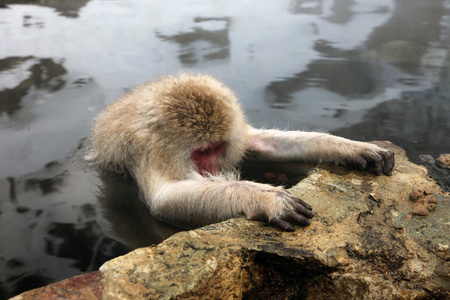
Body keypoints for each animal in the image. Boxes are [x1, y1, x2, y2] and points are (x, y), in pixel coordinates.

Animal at [90, 73, 394, 232]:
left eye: (217, 148)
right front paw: (265, 199)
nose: (212, 169)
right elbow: (163, 200)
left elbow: (263, 145)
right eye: (201, 152)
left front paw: (353, 148)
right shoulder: (147, 155)